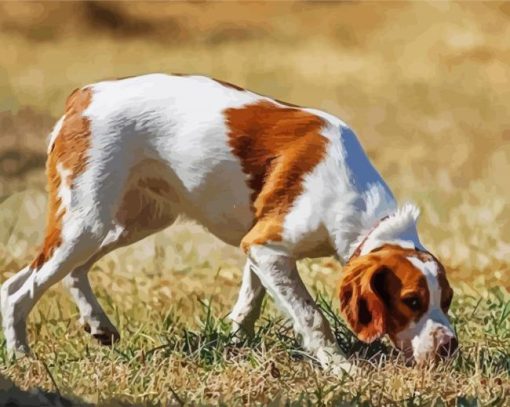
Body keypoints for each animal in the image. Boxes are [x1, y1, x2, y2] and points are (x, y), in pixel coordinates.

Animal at [0, 71, 454, 372]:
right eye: (412, 301)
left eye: (446, 301)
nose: (449, 346)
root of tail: (84, 96)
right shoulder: (268, 246)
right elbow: (311, 316)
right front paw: (338, 367)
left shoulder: (259, 247)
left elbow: (250, 302)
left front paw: (238, 343)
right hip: (86, 220)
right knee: (17, 289)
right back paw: (23, 358)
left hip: (135, 220)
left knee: (69, 271)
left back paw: (98, 324)